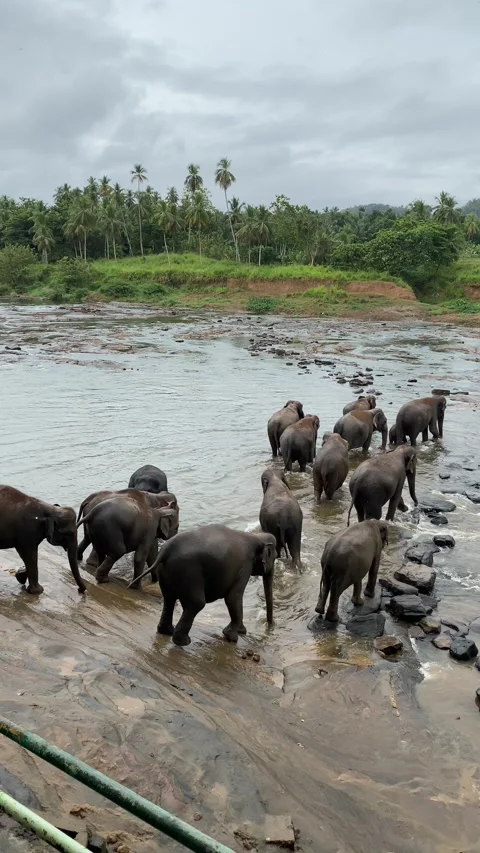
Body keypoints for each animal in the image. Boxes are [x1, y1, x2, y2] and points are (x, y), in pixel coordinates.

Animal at [130, 525, 277, 646]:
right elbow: (233, 598)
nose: (270, 627)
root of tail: (165, 550)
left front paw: (241, 631)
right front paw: (232, 637)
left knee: (169, 598)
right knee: (197, 603)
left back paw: (167, 632)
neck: (256, 537)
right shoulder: (244, 567)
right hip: (189, 572)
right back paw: (184, 642)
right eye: (275, 558)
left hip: (165, 572)